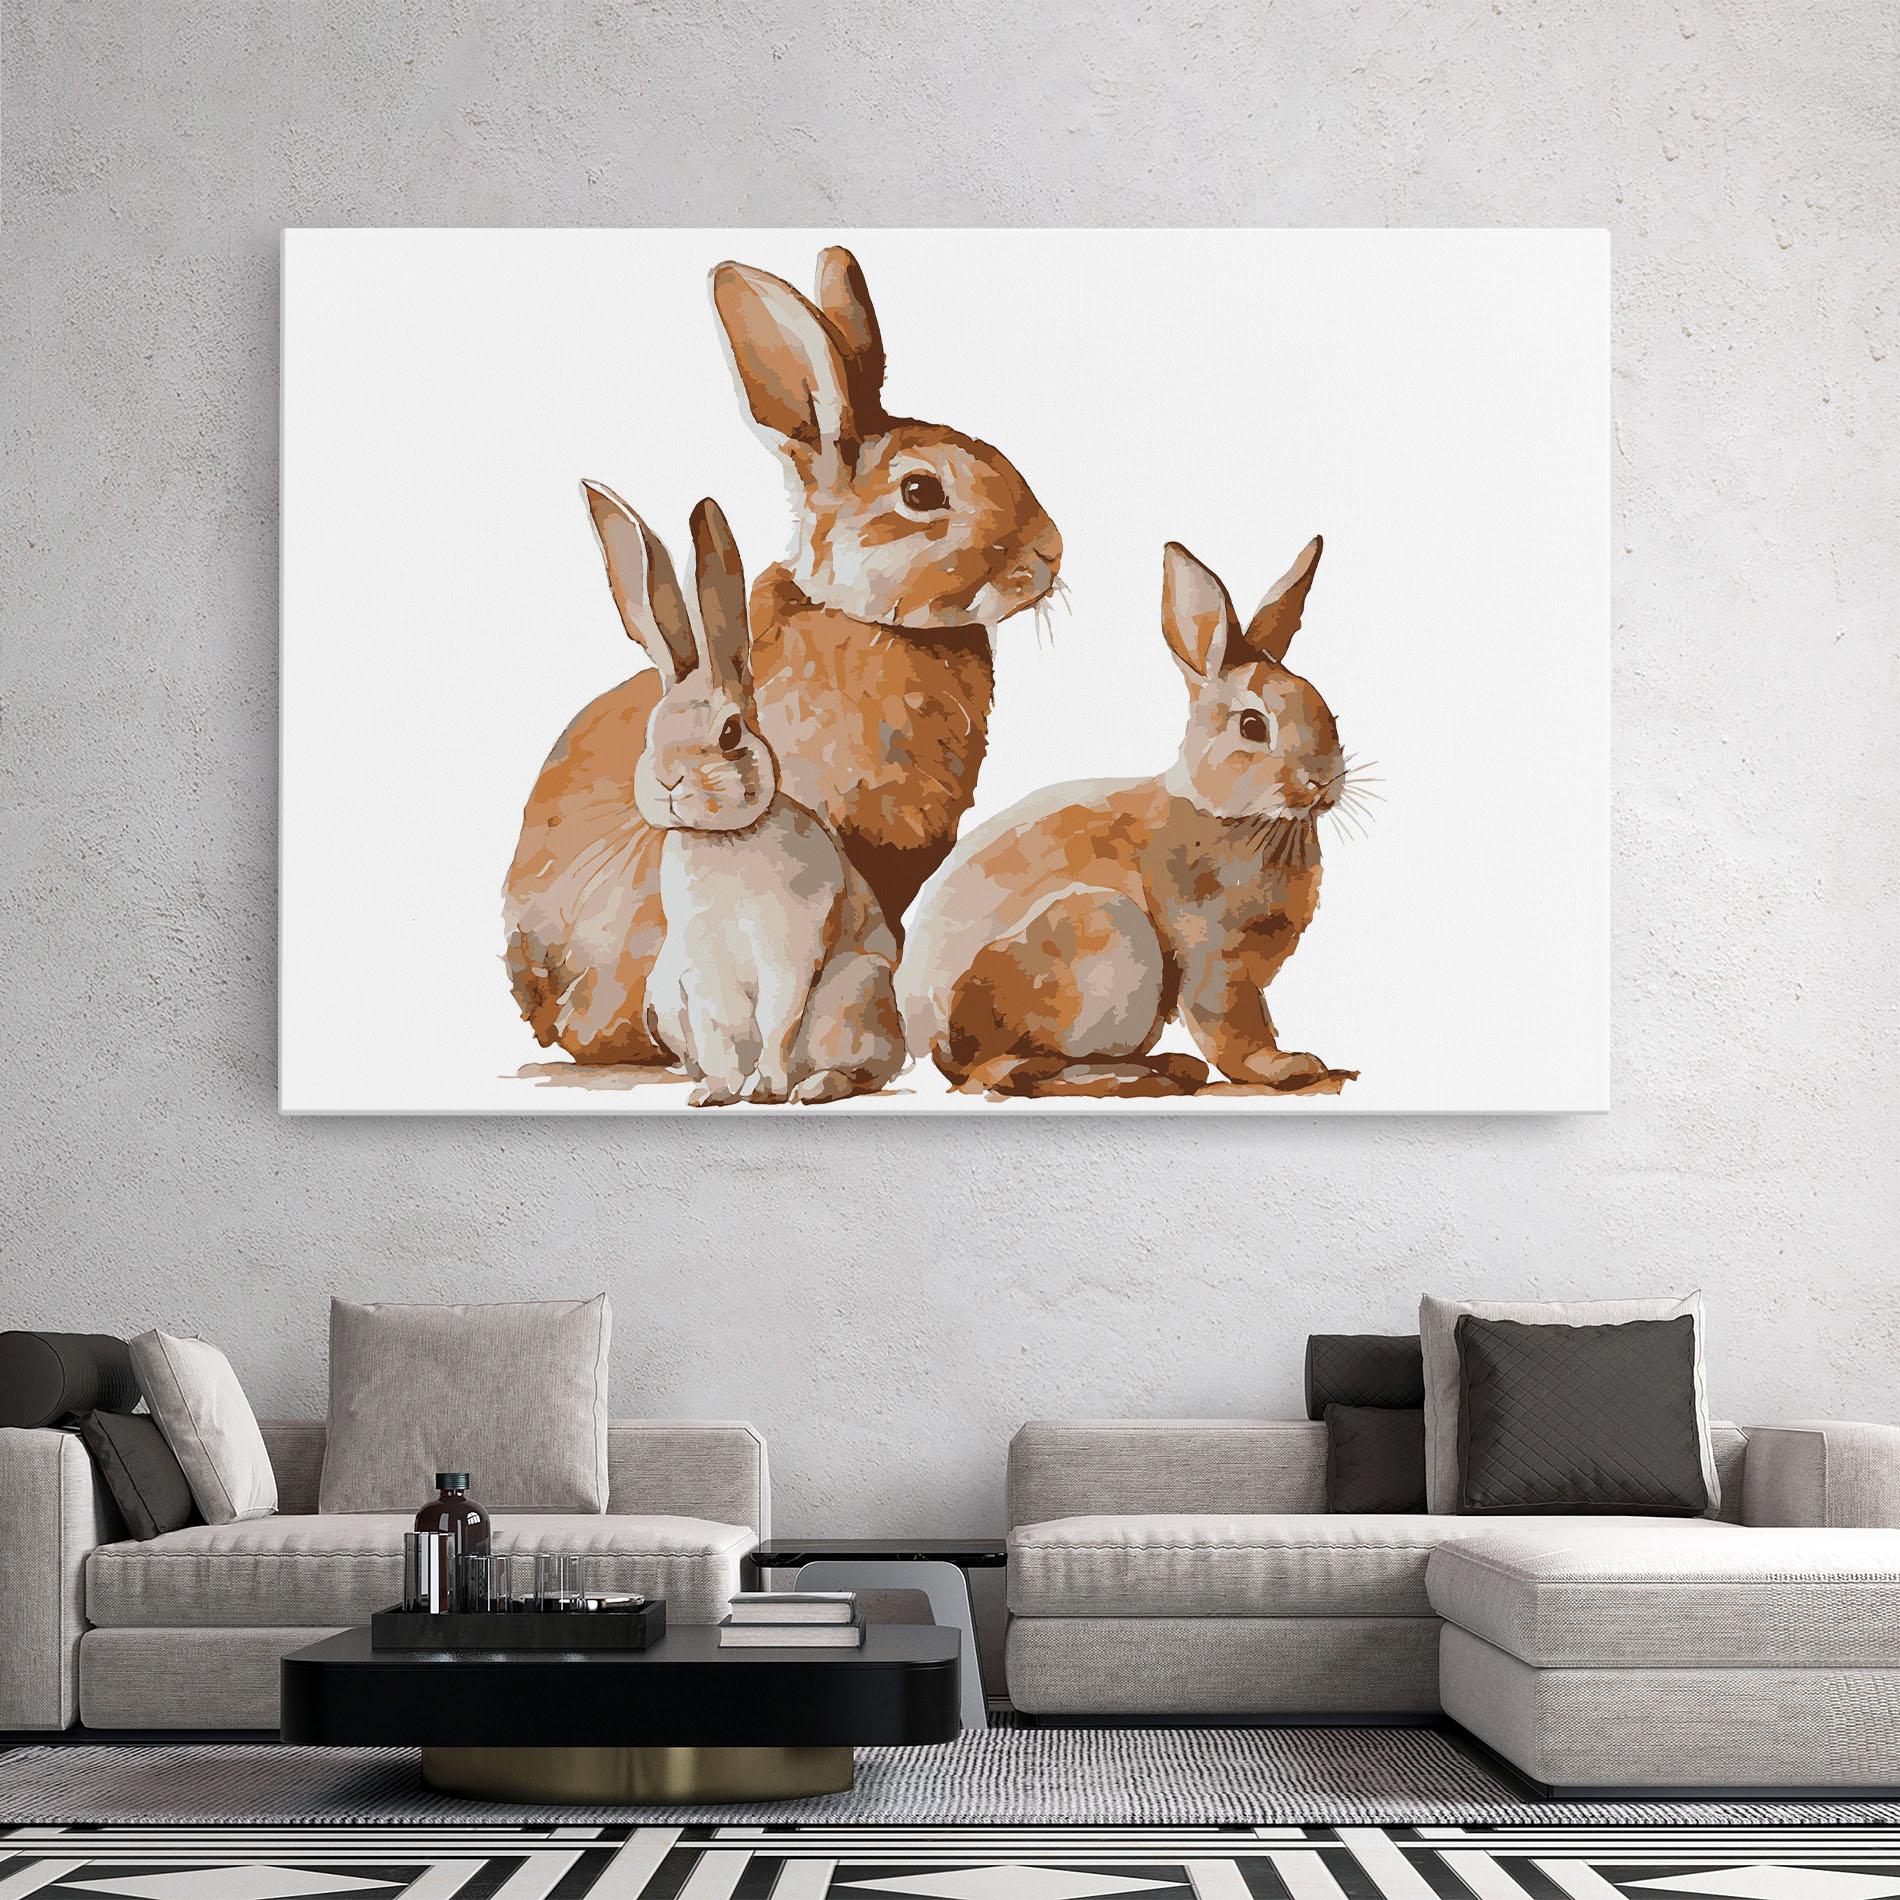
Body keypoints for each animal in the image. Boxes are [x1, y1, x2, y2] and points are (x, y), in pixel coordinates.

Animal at [588, 482, 906, 1106]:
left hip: (852, 998)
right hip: (664, 997)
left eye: (731, 733)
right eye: (652, 730)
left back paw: (811, 1087)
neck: (726, 839)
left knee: (865, 1071)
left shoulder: (787, 957)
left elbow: (777, 1023)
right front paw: (716, 1092)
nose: (668, 782)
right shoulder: (699, 972)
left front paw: (765, 1088)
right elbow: (717, 1036)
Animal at [898, 536, 1362, 1100]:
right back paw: (1137, 1075)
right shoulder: (1213, 961)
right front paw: (1288, 1067)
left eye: (1328, 711)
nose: (1324, 782)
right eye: (1253, 726)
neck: (1243, 818)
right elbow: (1233, 1033)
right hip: (1104, 935)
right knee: (1005, 1071)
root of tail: (928, 1038)